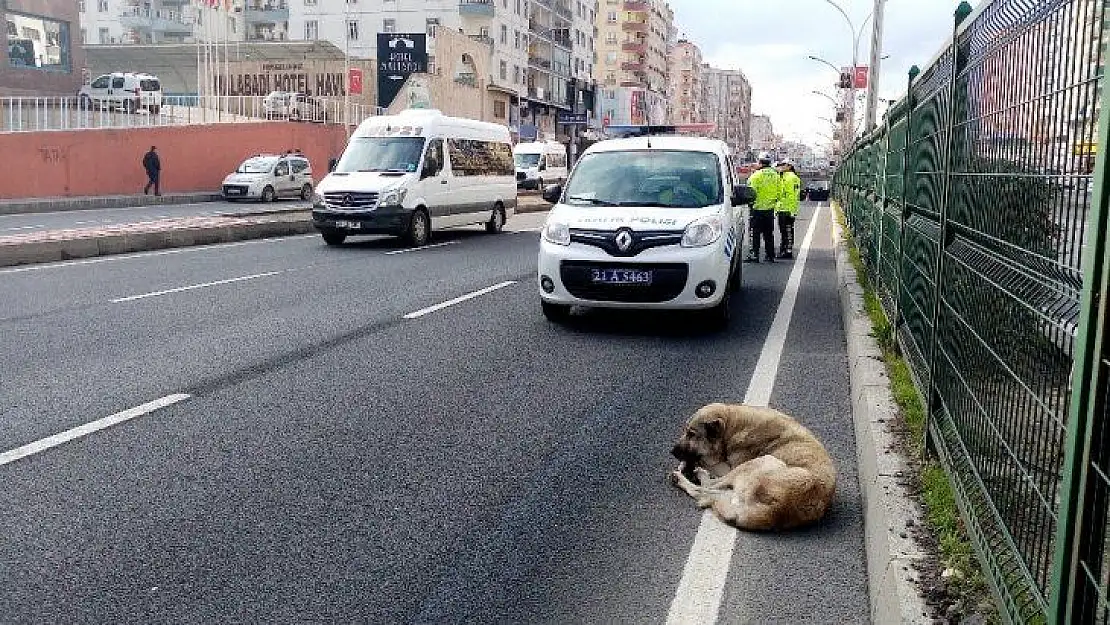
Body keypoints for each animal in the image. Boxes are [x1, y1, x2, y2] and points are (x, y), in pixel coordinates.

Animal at [666, 404, 839, 530]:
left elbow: (707, 461)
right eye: (685, 432)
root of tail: (777, 511)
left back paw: (685, 477)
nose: (672, 451)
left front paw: (692, 463)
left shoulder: (729, 466)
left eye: (691, 434)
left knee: (705, 487)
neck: (733, 424)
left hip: (762, 461)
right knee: (713, 493)